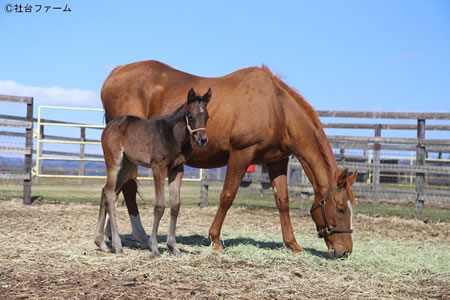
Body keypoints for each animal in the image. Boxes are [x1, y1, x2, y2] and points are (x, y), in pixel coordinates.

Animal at [95, 88, 211, 256]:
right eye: (190, 115)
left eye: (207, 116)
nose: (203, 140)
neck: (173, 136)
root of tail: (109, 127)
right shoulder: (158, 167)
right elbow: (159, 206)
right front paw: (155, 249)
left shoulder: (177, 169)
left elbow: (175, 205)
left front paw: (173, 247)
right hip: (114, 162)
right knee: (110, 193)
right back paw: (117, 245)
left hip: (128, 165)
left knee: (106, 191)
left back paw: (101, 243)